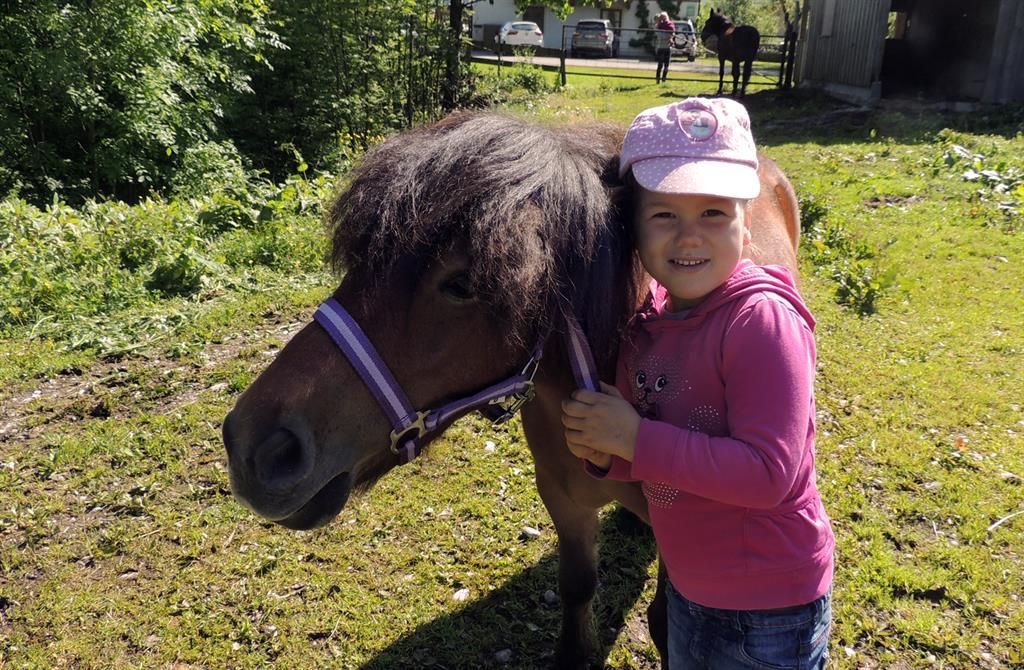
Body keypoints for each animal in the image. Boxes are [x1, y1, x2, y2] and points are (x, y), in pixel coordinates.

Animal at [222, 110, 799, 669]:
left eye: (462, 285)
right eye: (360, 265)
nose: (254, 448)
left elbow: (665, 621)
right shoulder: (563, 501)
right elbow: (577, 585)